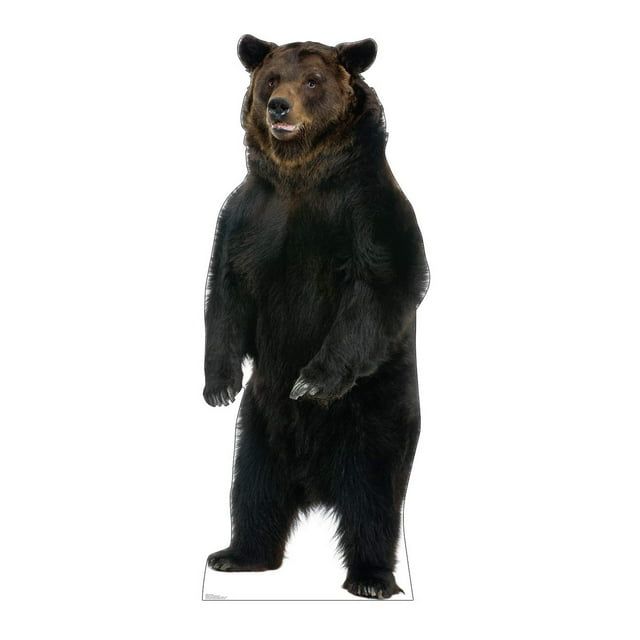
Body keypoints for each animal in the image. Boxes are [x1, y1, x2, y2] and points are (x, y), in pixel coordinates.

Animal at [203, 34, 430, 599]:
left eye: (313, 81)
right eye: (270, 78)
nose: (277, 106)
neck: (302, 176)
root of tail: (315, 484)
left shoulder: (368, 212)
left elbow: (379, 287)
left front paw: (311, 381)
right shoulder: (250, 215)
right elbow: (226, 290)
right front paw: (219, 384)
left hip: (377, 415)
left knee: (375, 500)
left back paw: (372, 578)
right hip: (260, 425)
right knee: (252, 488)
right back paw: (237, 554)